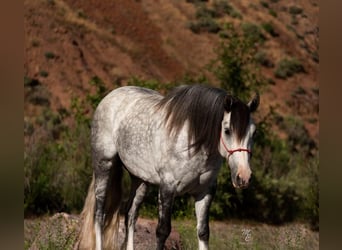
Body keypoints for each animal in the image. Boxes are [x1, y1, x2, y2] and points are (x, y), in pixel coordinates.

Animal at [77, 84, 260, 250]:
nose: (244, 176)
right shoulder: (167, 188)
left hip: (140, 180)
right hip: (104, 164)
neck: (192, 142)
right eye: (227, 130)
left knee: (130, 216)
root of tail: (110, 96)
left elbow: (203, 232)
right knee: (99, 214)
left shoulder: (205, 192)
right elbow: (162, 231)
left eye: (254, 133)